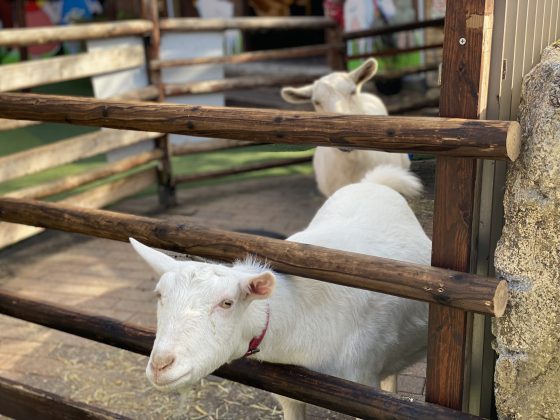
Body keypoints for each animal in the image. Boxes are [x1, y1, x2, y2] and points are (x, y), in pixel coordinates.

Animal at [131, 165, 428, 420]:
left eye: (227, 303)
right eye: (160, 296)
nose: (160, 365)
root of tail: (373, 183)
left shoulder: (362, 385)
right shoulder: (290, 391)